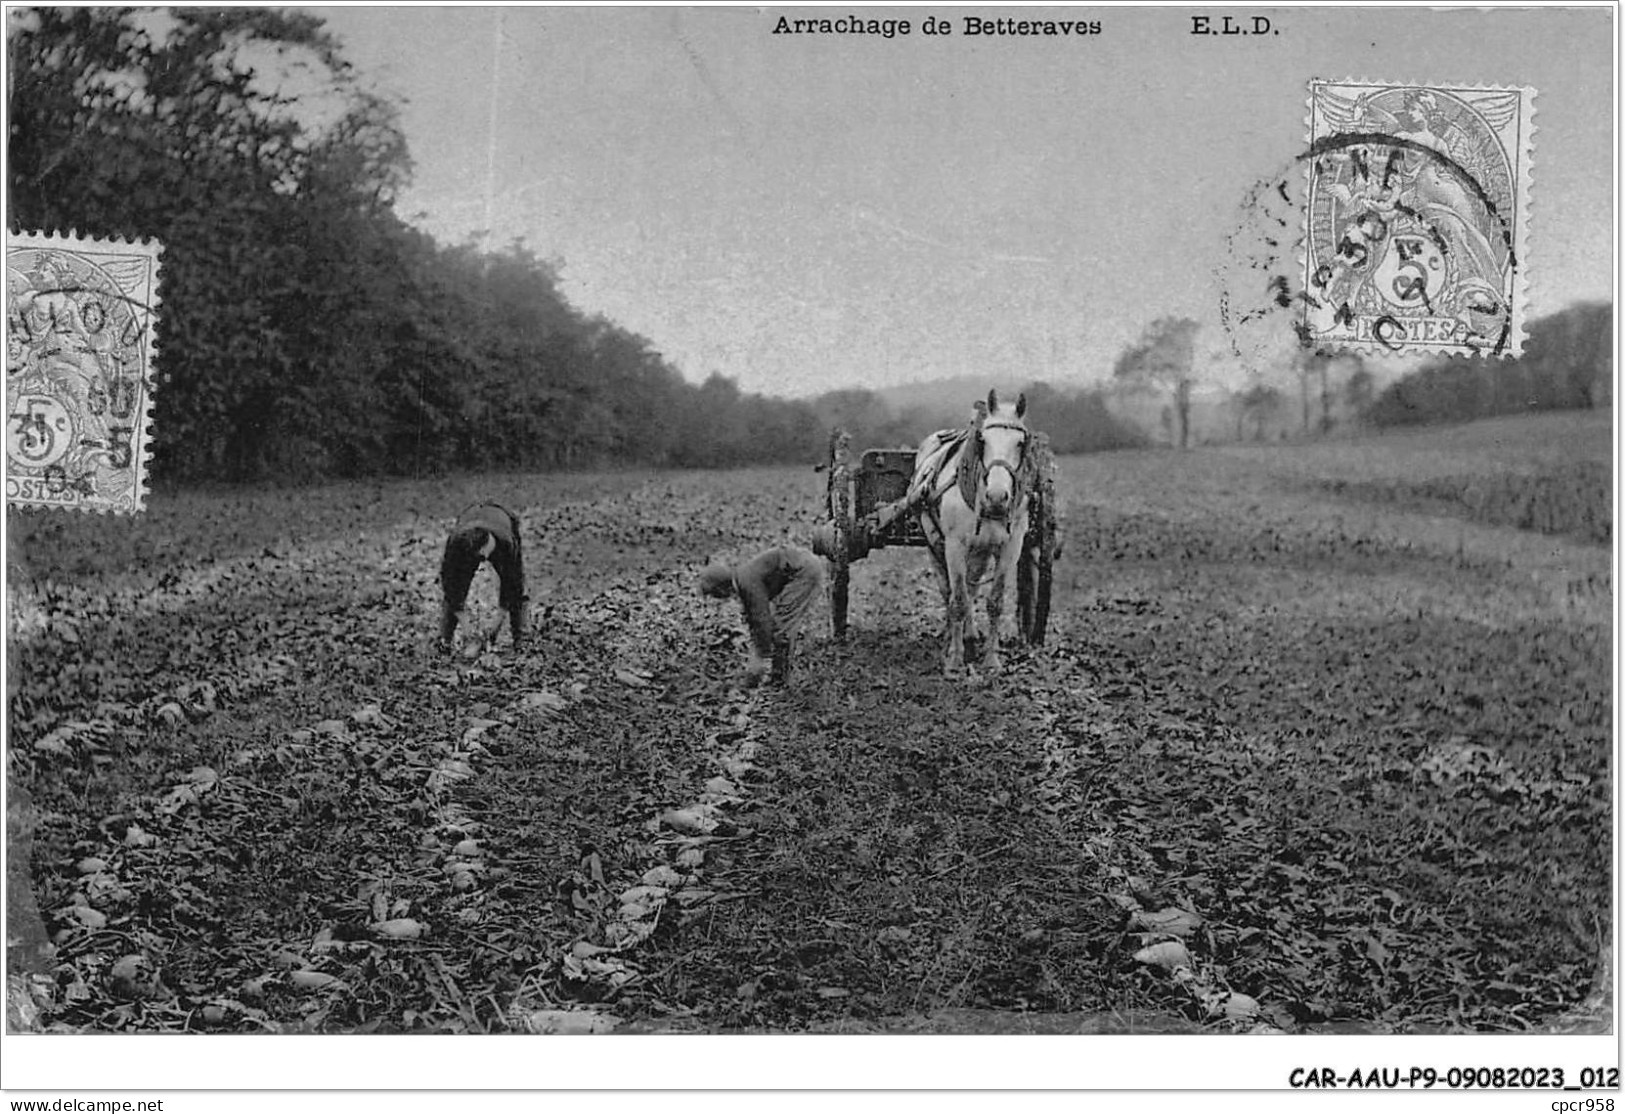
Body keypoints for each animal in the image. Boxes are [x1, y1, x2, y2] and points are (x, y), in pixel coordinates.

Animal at [910, 388, 1033, 675]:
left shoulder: (1010, 547)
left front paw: (991, 660)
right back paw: (950, 639)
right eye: (983, 440)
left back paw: (970, 634)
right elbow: (957, 600)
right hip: (936, 545)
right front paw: (955, 660)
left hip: (981, 552)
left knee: (971, 586)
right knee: (949, 591)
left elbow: (994, 602)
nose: (997, 497)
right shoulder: (955, 546)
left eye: (1020, 443)